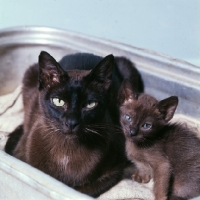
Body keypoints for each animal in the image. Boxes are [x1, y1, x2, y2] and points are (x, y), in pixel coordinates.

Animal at [5, 51, 143, 197]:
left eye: (90, 104)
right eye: (58, 101)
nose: (72, 122)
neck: (66, 151)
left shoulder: (113, 171)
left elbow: (80, 190)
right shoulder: (21, 158)